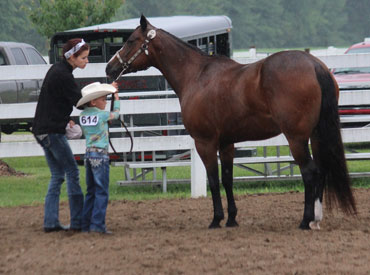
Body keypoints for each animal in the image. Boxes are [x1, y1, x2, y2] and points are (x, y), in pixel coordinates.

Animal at [105, 15, 356, 231]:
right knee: (321, 170)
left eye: (130, 40)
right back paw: (316, 219)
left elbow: (214, 180)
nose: (109, 68)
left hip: (296, 139)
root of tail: (314, 64)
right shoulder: (227, 143)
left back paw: (306, 220)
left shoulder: (205, 143)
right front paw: (232, 218)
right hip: (314, 135)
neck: (196, 75)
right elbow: (227, 179)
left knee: (310, 172)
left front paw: (216, 219)